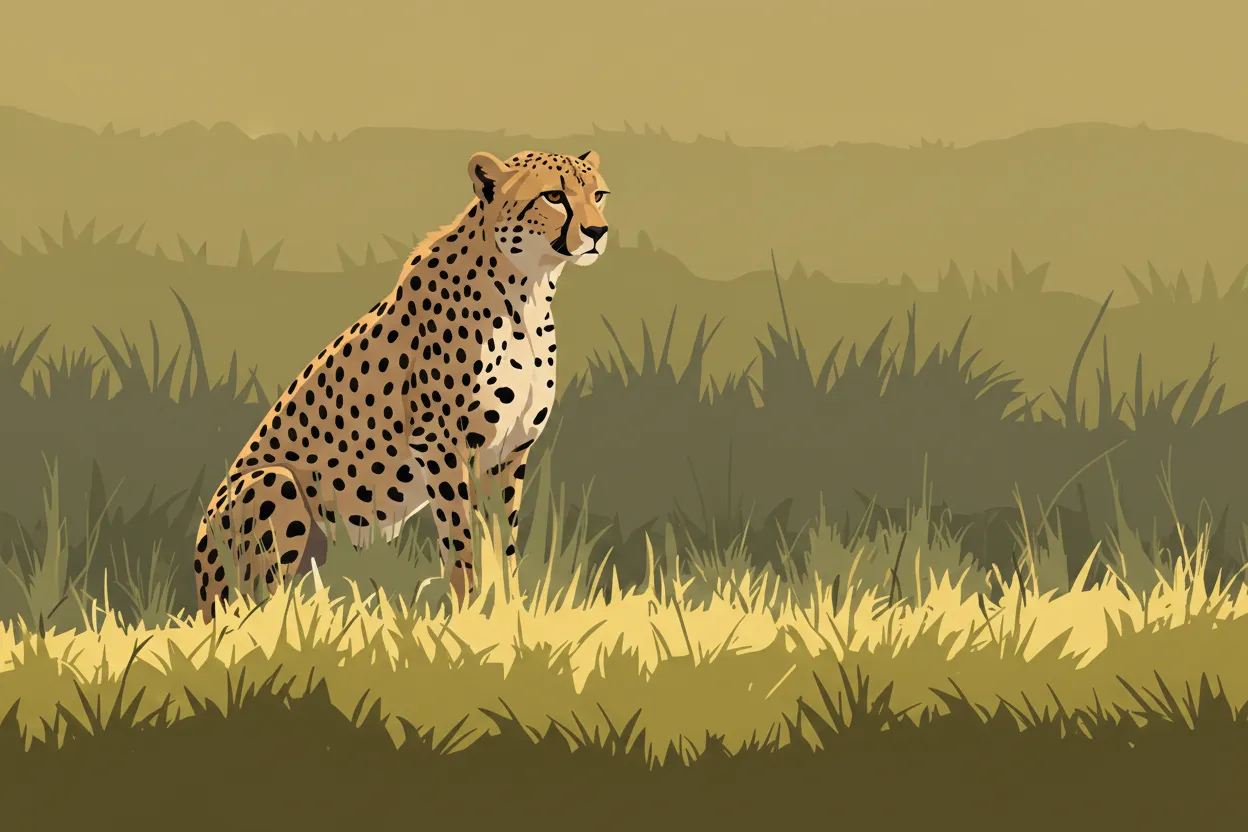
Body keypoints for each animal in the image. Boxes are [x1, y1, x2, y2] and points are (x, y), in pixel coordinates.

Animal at [190, 149, 610, 623]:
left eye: (598, 195)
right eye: (554, 196)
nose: (598, 232)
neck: (526, 289)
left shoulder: (508, 451)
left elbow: (503, 541)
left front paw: (509, 610)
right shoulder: (441, 444)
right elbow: (462, 540)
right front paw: (467, 614)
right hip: (273, 482)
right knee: (255, 606)